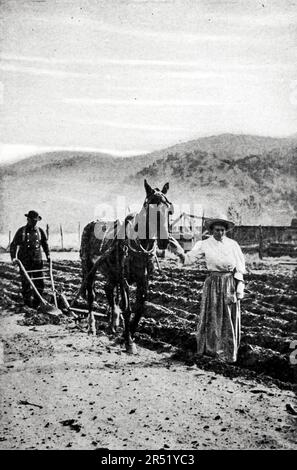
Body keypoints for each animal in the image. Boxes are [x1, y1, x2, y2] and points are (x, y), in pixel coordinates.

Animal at [78, 180, 179, 352]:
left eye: (169, 210)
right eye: (150, 208)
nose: (164, 241)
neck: (140, 246)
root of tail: (90, 224)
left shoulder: (143, 280)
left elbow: (139, 309)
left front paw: (127, 335)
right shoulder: (124, 279)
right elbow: (127, 308)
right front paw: (129, 342)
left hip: (112, 273)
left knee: (108, 289)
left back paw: (113, 324)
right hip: (88, 268)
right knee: (91, 295)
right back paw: (92, 326)